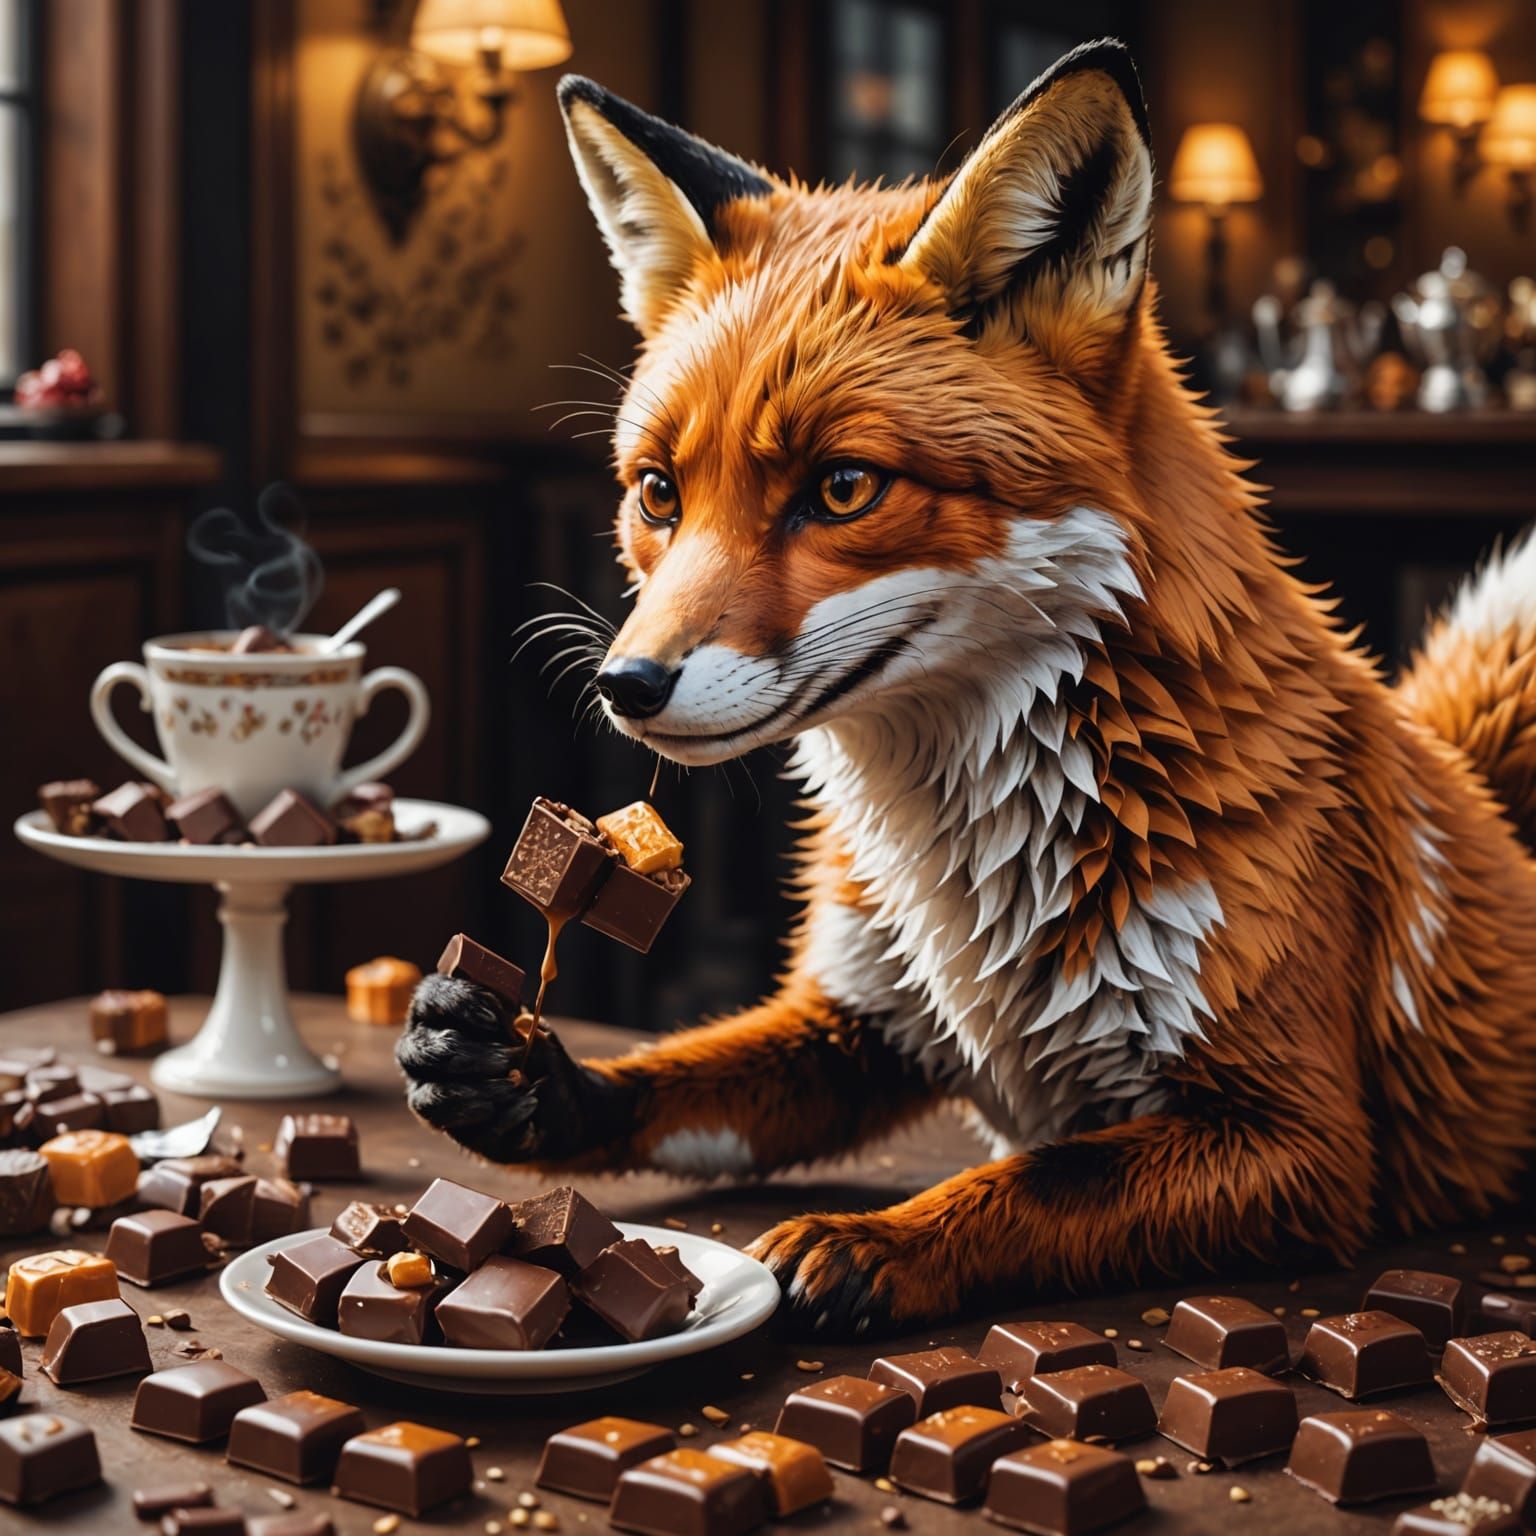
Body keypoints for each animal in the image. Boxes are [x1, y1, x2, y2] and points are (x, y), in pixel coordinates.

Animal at [398, 40, 1536, 1337]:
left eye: (843, 488)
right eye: (657, 493)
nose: (626, 685)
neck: (973, 868)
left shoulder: (1301, 1137)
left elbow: (1038, 1181)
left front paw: (875, 1240)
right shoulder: (862, 1020)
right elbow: (673, 1079)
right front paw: (528, 1081)